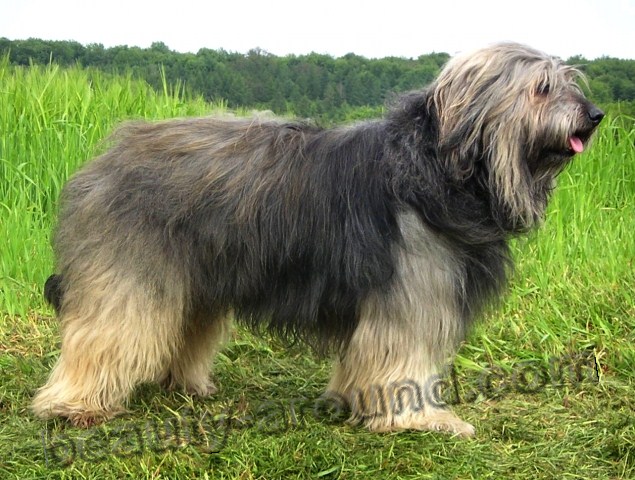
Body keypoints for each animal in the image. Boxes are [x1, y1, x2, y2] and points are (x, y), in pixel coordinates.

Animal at [33, 44, 608, 436]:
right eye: (540, 88)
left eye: (567, 82)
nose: (595, 115)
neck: (437, 168)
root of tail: (106, 157)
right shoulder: (411, 295)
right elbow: (406, 359)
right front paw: (422, 419)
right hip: (130, 273)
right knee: (104, 333)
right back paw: (73, 404)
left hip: (199, 274)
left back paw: (187, 383)